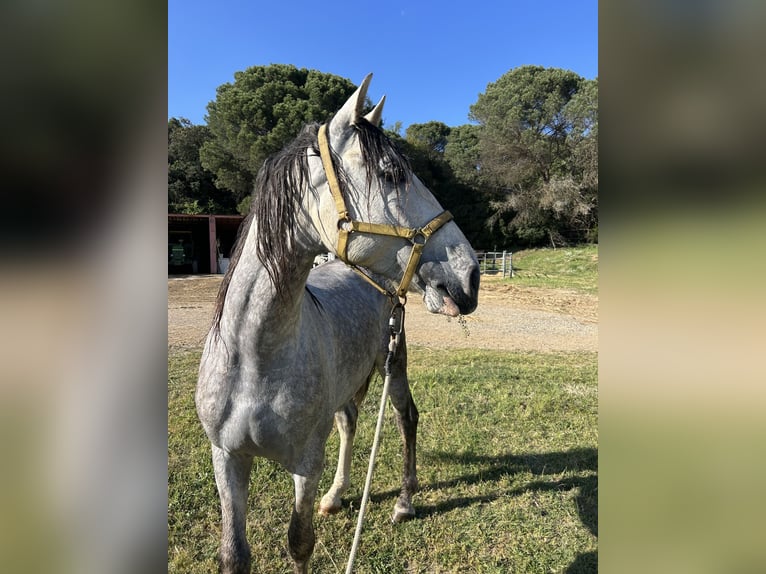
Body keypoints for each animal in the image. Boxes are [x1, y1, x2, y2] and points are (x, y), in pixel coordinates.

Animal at [196, 74, 480, 574]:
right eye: (389, 173)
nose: (471, 276)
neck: (253, 356)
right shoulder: (226, 459)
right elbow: (235, 554)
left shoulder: (306, 462)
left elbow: (299, 542)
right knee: (349, 421)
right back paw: (337, 494)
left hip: (393, 364)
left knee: (406, 417)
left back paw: (404, 502)